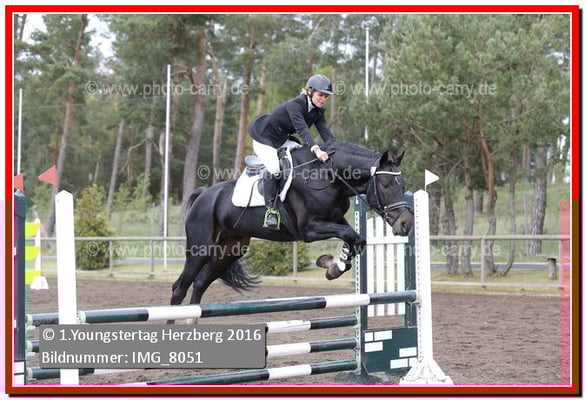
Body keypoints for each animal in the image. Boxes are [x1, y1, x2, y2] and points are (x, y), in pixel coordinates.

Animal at [169, 141, 413, 314]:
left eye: (403, 185)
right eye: (385, 184)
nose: (406, 223)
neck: (329, 177)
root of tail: (204, 195)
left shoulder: (335, 220)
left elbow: (356, 238)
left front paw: (334, 266)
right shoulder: (309, 229)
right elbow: (350, 235)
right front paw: (332, 266)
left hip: (229, 250)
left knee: (200, 283)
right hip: (201, 250)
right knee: (180, 287)